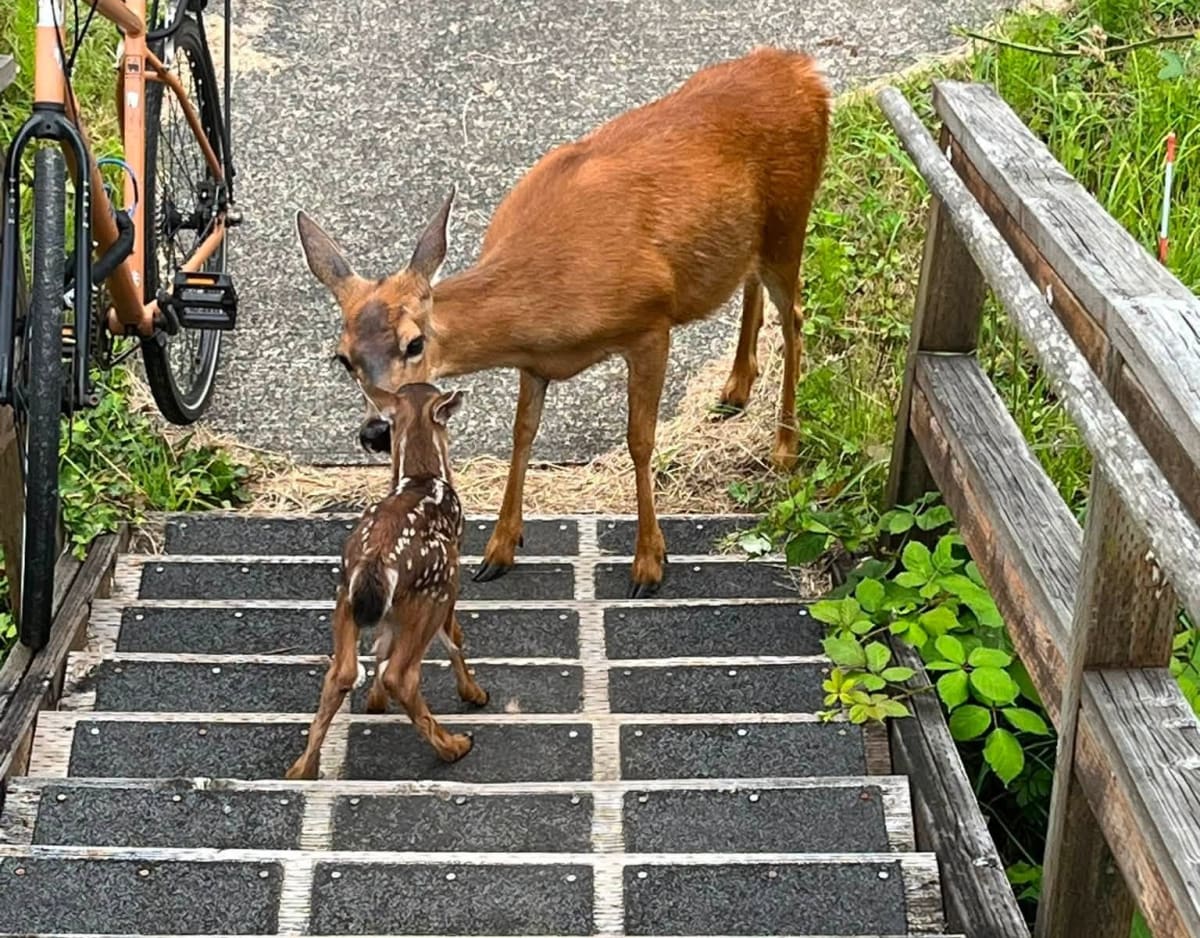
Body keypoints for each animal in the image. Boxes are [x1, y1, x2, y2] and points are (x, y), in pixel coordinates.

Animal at [286, 382, 487, 781]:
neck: (421, 475)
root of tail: (377, 561)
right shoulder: (453, 572)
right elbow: (454, 637)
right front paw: (474, 693)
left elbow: (381, 642)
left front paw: (375, 702)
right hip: (435, 589)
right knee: (402, 675)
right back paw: (454, 746)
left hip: (345, 595)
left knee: (341, 671)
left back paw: (301, 770)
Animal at [295, 46, 830, 598]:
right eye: (343, 358)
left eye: (414, 343)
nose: (376, 431)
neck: (550, 300)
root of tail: (804, 71)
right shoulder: (535, 364)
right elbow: (522, 433)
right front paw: (500, 548)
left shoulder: (650, 325)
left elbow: (640, 440)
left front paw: (649, 561)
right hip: (750, 238)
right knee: (752, 286)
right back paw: (736, 387)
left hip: (791, 216)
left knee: (795, 316)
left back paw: (785, 445)